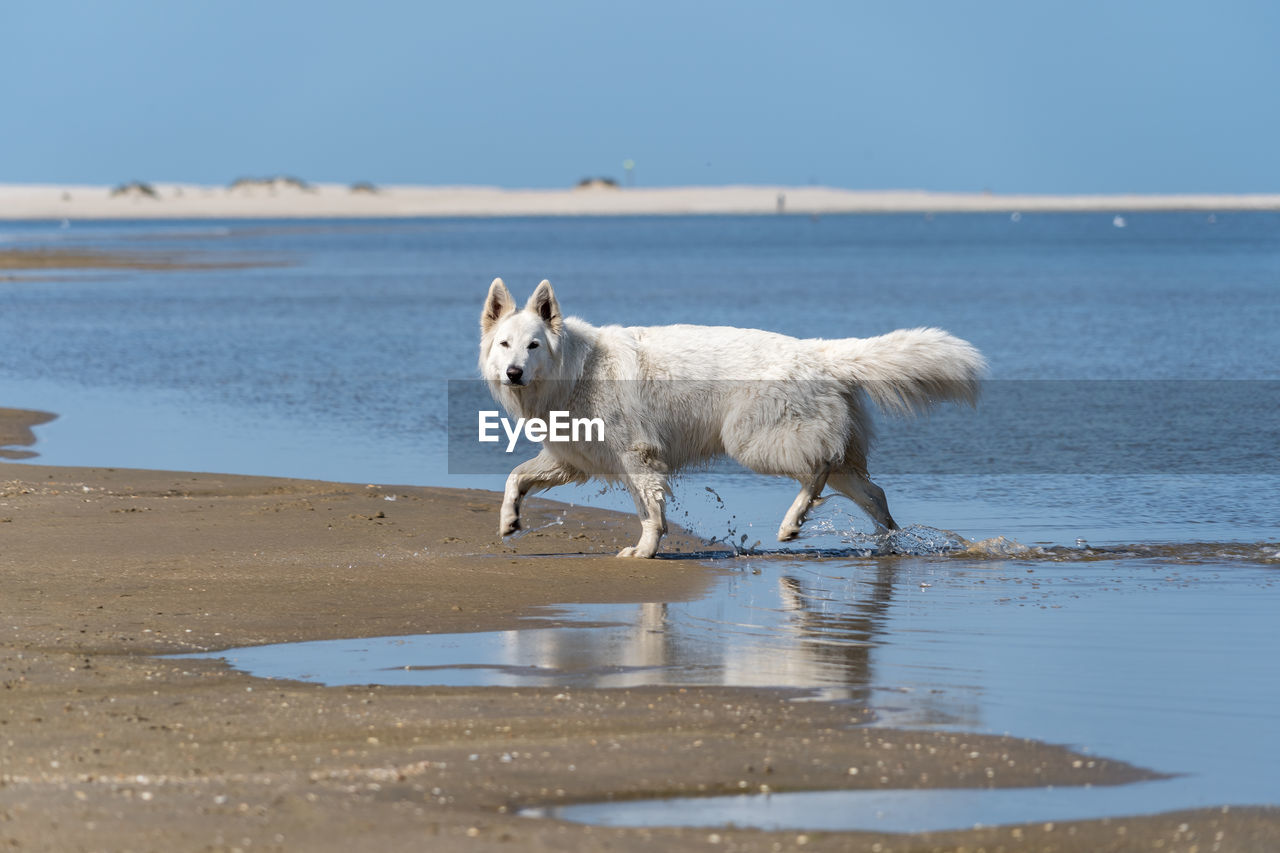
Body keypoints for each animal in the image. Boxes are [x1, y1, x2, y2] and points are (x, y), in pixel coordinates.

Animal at [476, 279, 983, 558]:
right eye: (505, 344)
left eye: (533, 345)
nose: (513, 373)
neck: (577, 369)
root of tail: (817, 351)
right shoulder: (577, 458)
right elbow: (515, 476)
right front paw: (509, 522)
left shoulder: (639, 457)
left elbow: (650, 514)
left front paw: (645, 552)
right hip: (823, 450)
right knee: (872, 492)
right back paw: (887, 544)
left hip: (753, 439)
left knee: (818, 470)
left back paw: (793, 523)